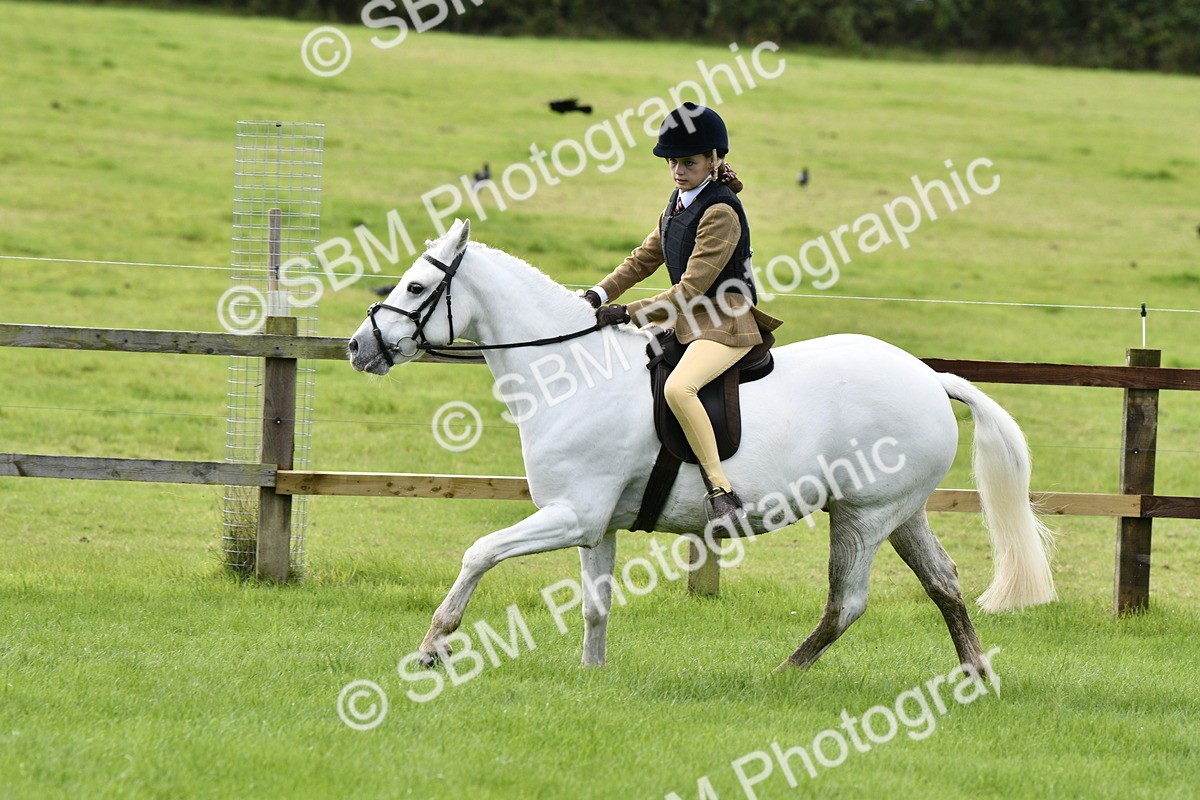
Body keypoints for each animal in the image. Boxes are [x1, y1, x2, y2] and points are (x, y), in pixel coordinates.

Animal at [347, 219, 1056, 675]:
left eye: (416, 288)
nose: (359, 347)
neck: (571, 372)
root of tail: (930, 378)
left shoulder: (571, 514)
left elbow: (479, 553)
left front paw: (433, 646)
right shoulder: (595, 525)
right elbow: (596, 605)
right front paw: (592, 678)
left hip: (863, 515)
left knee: (848, 602)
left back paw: (784, 674)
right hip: (901, 514)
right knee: (944, 582)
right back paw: (975, 675)